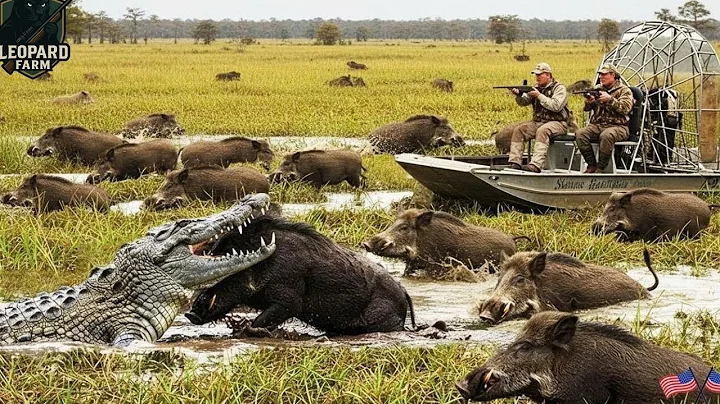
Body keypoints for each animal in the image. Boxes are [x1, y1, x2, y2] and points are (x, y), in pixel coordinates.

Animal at [363, 209, 516, 277]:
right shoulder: (411, 265)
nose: (366, 244)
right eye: (393, 223)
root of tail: (513, 241)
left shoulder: (435, 266)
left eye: (404, 227)